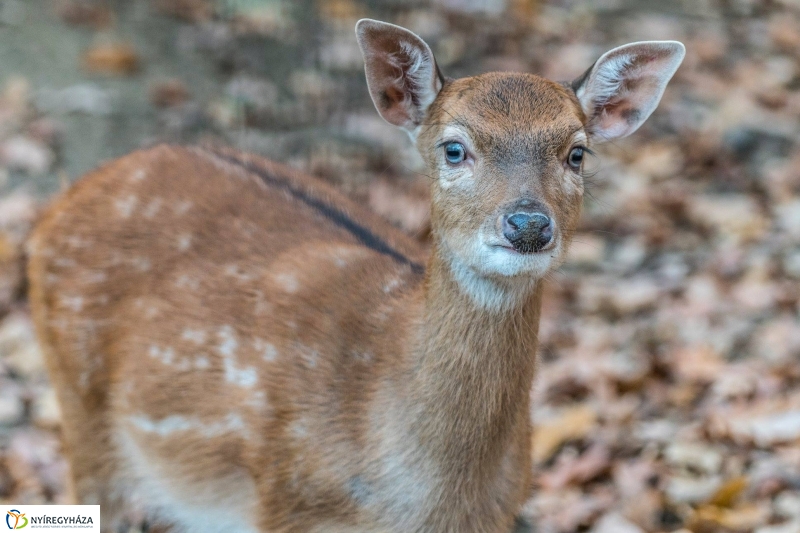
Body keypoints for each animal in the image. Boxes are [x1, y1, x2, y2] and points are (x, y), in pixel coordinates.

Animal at [28, 17, 684, 532]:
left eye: (576, 152)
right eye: (453, 148)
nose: (528, 224)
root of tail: (63, 199)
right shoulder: (290, 507)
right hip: (81, 412)